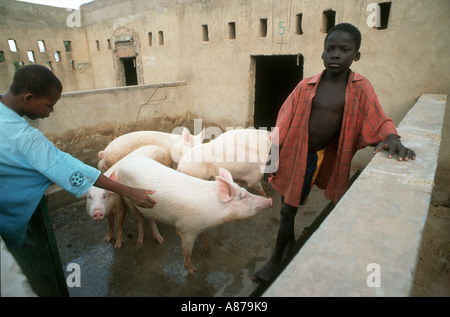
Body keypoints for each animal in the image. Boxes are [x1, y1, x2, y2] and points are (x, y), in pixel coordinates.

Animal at [114, 154, 272, 272]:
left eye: (245, 191)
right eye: (243, 197)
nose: (270, 200)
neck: (214, 215)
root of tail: (124, 161)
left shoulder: (200, 226)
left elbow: (203, 236)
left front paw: (208, 250)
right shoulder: (186, 229)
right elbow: (187, 251)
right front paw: (192, 270)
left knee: (150, 218)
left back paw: (161, 240)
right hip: (128, 198)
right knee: (139, 218)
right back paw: (140, 241)